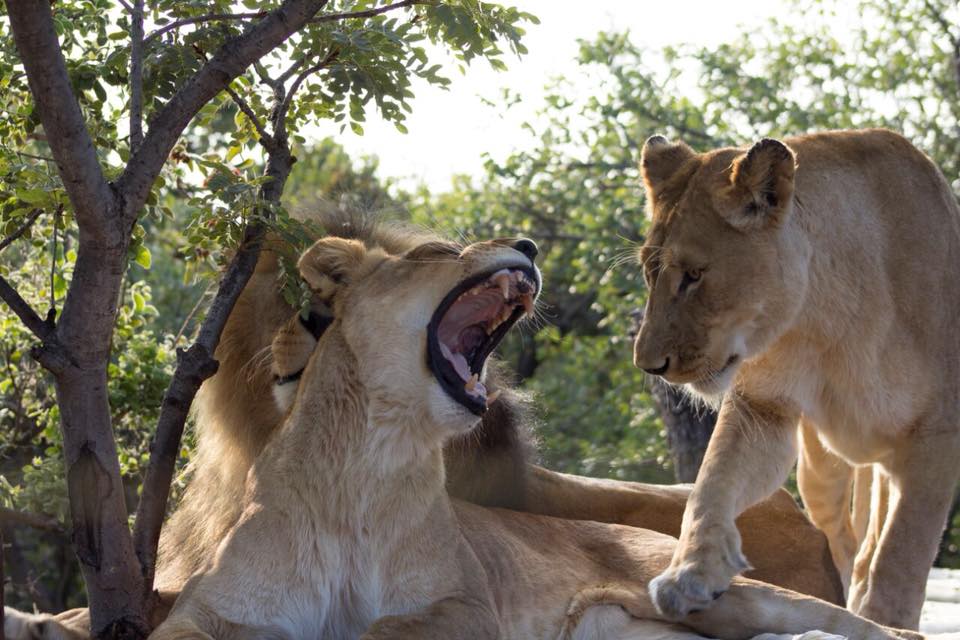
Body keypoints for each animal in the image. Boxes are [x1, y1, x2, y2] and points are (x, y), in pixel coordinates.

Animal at [7, 213, 841, 639]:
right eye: (439, 252)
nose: (528, 245)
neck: (365, 462)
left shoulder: (461, 610)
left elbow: (387, 629)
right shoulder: (208, 609)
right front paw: (41, 621)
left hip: (729, 593)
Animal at [632, 128, 960, 630]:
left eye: (694, 274)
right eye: (649, 272)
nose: (649, 365)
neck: (828, 318)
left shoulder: (936, 436)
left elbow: (903, 550)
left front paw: (888, 621)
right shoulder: (762, 408)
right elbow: (711, 485)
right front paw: (689, 574)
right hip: (821, 471)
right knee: (847, 542)